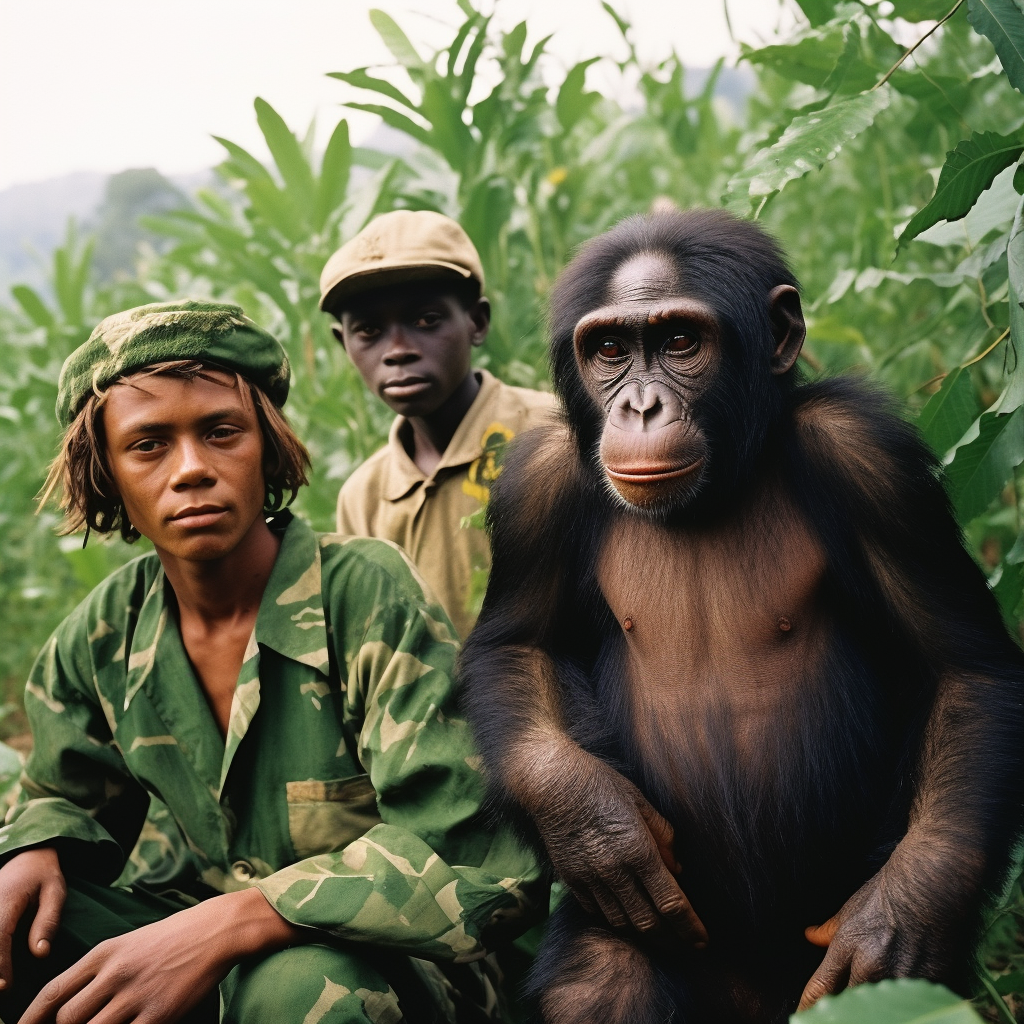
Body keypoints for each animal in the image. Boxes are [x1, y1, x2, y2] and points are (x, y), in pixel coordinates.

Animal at [460, 209, 1024, 1024]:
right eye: (610, 351)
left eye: (679, 342)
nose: (639, 406)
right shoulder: (537, 484)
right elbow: (514, 645)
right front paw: (597, 828)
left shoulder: (871, 458)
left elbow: (964, 666)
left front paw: (900, 919)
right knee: (597, 986)